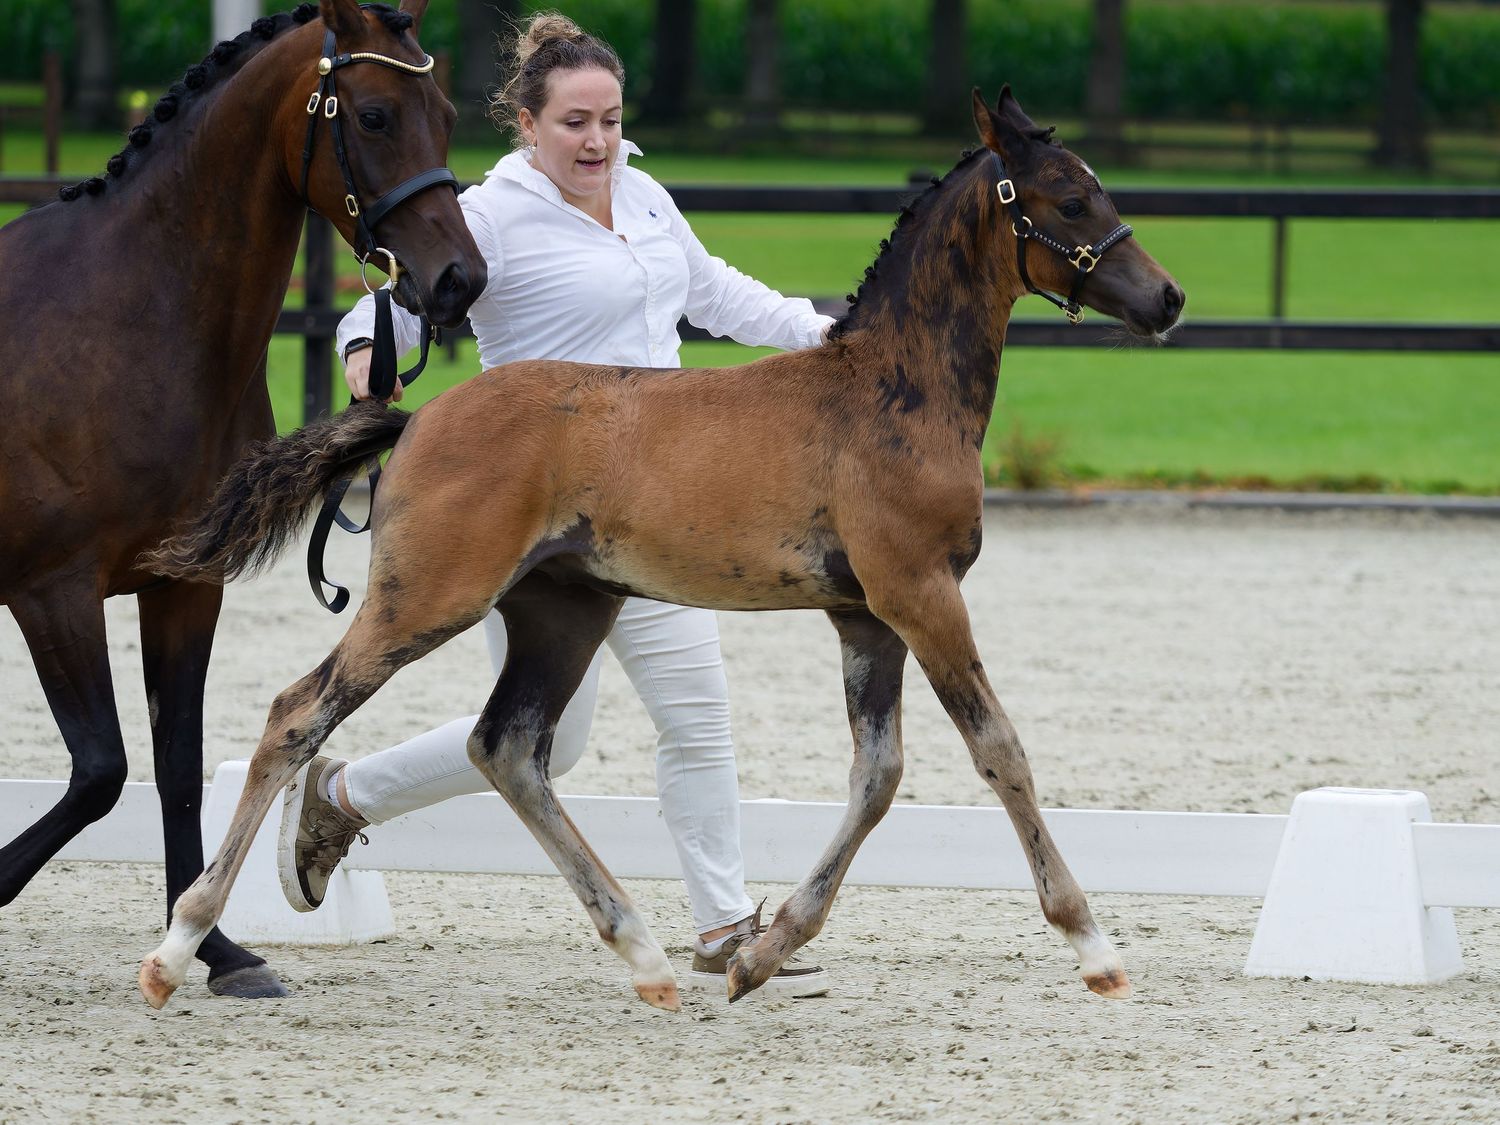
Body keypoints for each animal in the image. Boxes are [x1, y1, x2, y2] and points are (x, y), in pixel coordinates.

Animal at [0, 0, 484, 1000]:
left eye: (449, 113)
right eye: (373, 115)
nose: (460, 279)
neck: (129, 319)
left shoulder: (184, 585)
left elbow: (177, 768)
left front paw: (215, 951)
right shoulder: (51, 590)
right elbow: (100, 772)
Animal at [136, 88, 1184, 1011]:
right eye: (1071, 197)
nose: (1168, 298)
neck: (892, 391)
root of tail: (417, 416)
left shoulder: (866, 617)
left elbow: (877, 777)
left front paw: (762, 953)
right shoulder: (922, 595)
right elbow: (999, 750)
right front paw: (1094, 945)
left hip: (565, 609)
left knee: (506, 745)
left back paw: (643, 953)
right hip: (426, 597)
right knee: (299, 714)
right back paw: (179, 945)